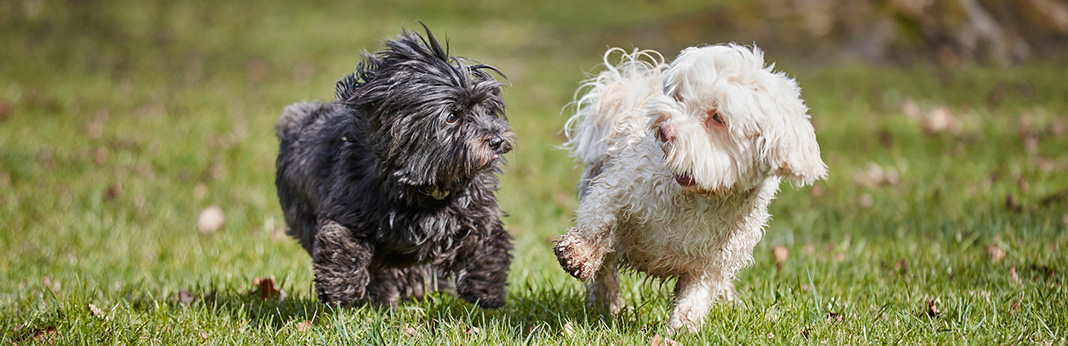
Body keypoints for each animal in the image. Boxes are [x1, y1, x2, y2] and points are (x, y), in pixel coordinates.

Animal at [273, 24, 510, 307]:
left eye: (486, 109)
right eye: (453, 116)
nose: (496, 140)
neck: (424, 186)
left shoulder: (474, 212)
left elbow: (486, 243)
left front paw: (488, 291)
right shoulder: (348, 211)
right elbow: (341, 242)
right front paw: (340, 289)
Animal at [555, 44, 828, 331]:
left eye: (717, 117)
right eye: (681, 98)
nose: (664, 129)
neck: (701, 195)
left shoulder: (714, 263)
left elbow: (696, 296)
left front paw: (681, 329)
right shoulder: (619, 187)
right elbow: (599, 222)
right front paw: (578, 253)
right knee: (605, 269)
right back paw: (604, 304)